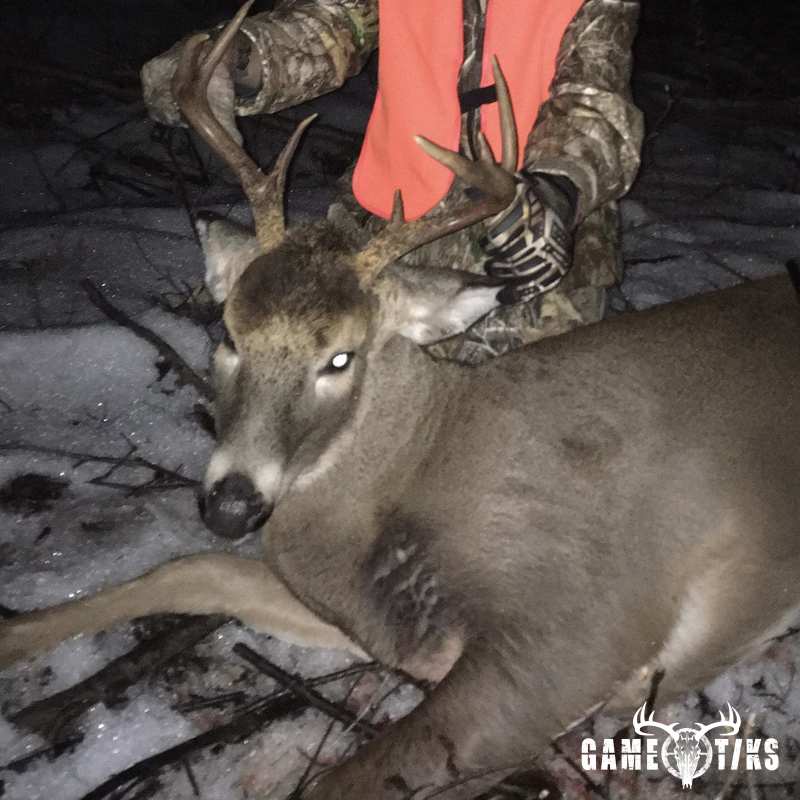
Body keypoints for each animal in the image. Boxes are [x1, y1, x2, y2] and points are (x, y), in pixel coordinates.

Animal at [1, 3, 799, 798]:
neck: (422, 462)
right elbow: (190, 570)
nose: (230, 505)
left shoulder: (580, 623)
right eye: (228, 332)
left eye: (341, 357)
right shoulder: (368, 617)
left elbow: (347, 778)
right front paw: (15, 634)